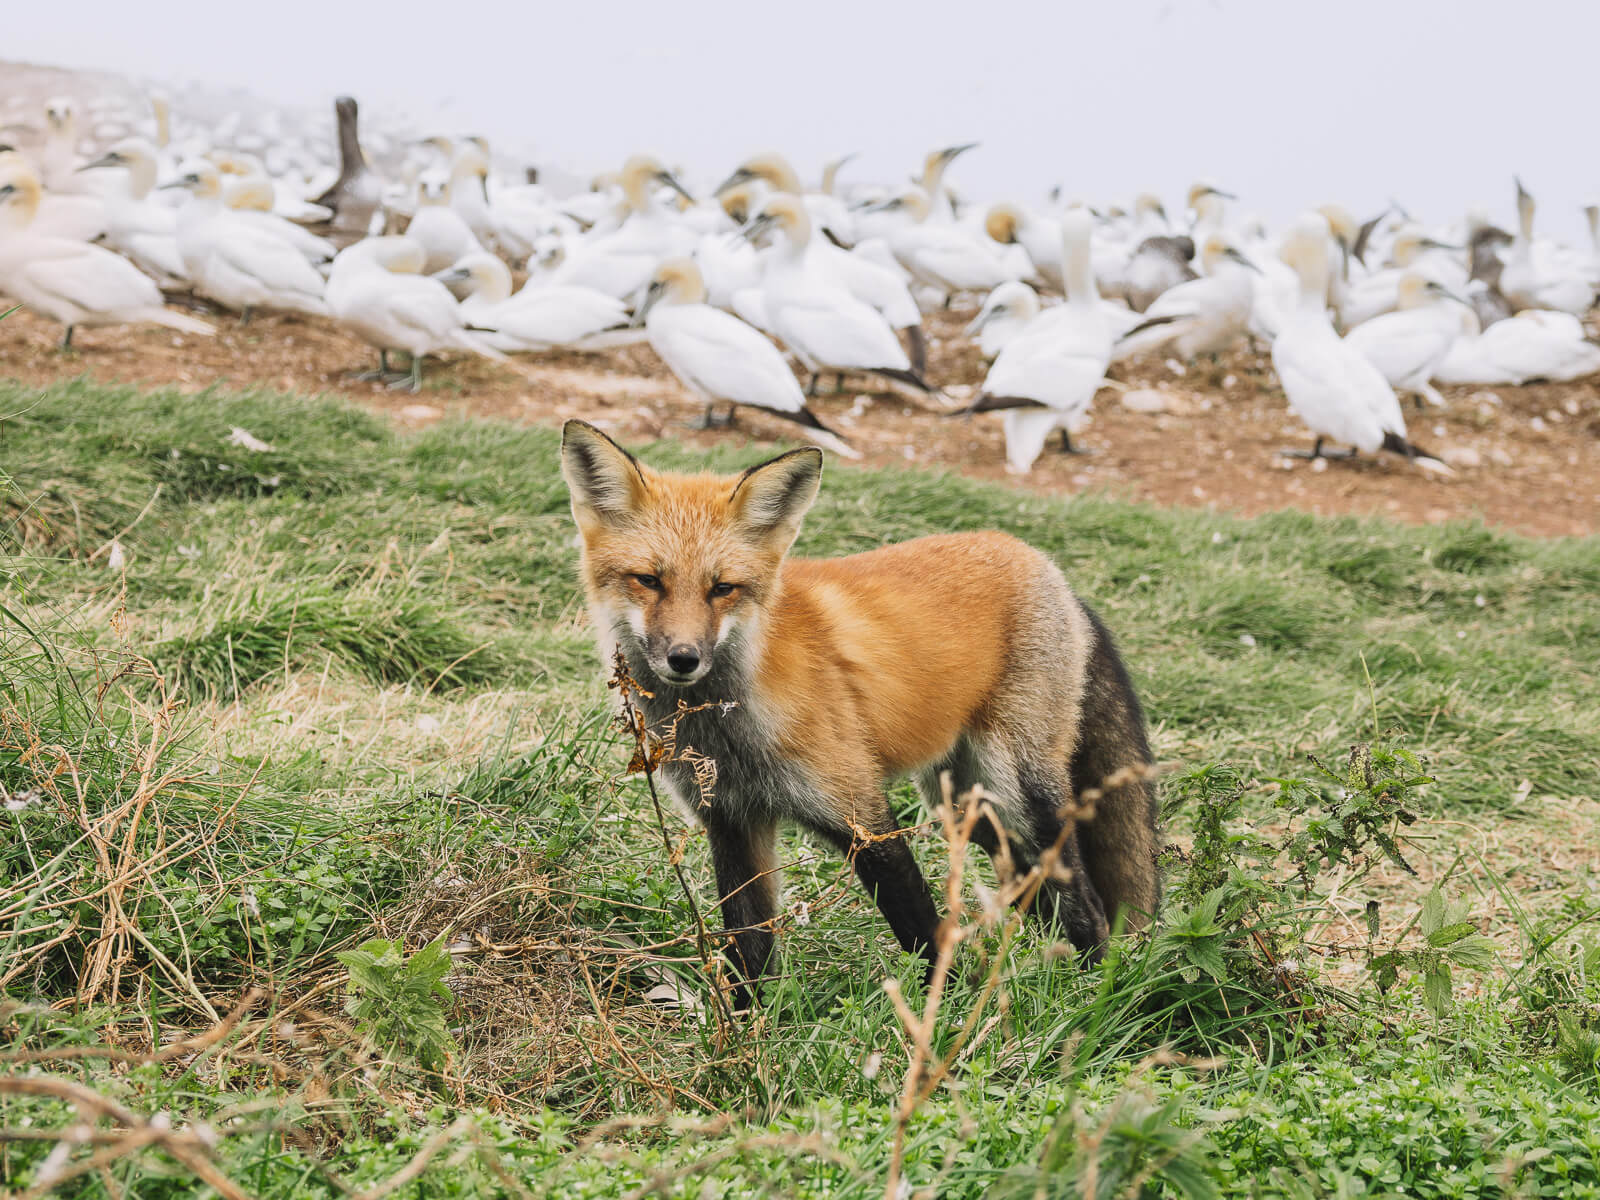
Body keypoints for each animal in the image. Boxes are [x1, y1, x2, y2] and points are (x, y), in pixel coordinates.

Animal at [556, 419, 1158, 998]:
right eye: (649, 581)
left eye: (722, 588)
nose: (684, 658)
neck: (727, 732)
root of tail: (1052, 571)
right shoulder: (731, 820)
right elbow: (749, 948)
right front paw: (752, 1030)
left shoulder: (860, 811)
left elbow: (919, 927)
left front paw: (942, 1014)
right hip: (969, 804)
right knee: (1033, 889)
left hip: (1017, 789)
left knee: (1084, 898)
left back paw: (1089, 992)